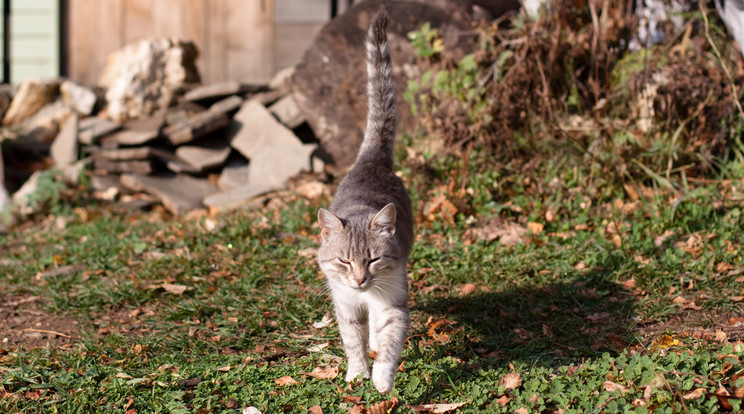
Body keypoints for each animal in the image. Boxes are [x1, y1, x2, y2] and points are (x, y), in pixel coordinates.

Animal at [316, 10, 416, 394]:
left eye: (372, 260)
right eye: (344, 261)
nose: (360, 281)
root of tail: (371, 161)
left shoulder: (391, 302)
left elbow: (389, 341)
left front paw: (382, 379)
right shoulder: (345, 305)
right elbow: (352, 341)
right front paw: (357, 373)